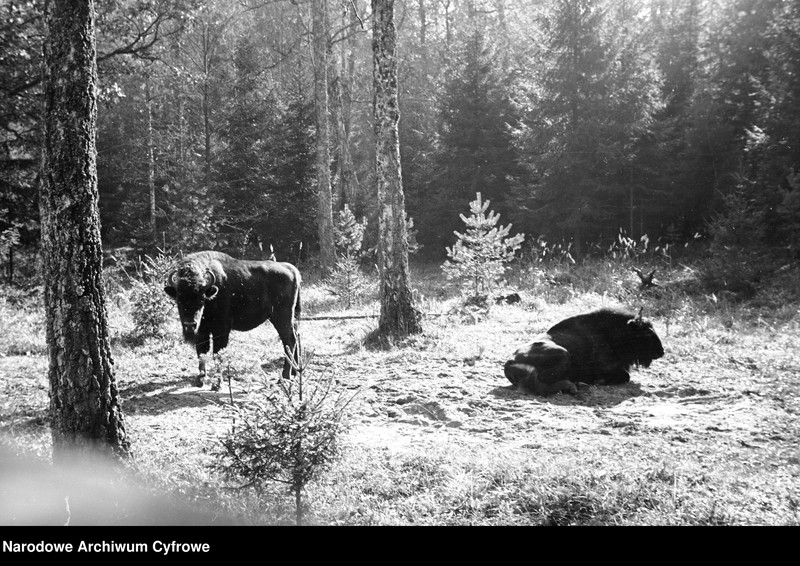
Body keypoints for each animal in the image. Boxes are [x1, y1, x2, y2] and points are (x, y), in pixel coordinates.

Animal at [164, 252, 302, 390]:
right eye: (179, 300)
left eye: (202, 300)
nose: (190, 325)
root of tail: (293, 271)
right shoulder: (202, 331)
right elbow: (202, 353)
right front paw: (200, 379)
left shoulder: (221, 330)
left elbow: (217, 354)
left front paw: (217, 383)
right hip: (292, 318)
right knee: (295, 338)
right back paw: (295, 373)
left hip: (281, 318)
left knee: (289, 341)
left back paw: (285, 377)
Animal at [506, 308, 664, 398]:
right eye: (647, 333)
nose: (661, 351)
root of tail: (510, 362)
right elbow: (626, 376)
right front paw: (599, 381)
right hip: (563, 354)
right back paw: (575, 385)